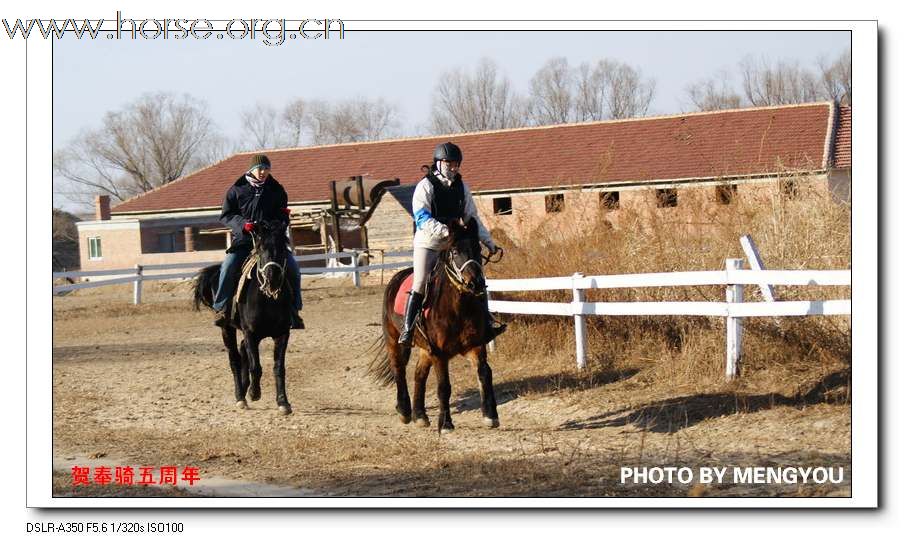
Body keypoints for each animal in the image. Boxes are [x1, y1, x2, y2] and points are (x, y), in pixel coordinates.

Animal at [195, 220, 296, 414]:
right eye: (261, 247)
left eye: (282, 247)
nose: (273, 276)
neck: (267, 299)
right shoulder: (250, 333)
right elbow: (255, 366)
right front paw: (254, 393)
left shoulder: (282, 334)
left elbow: (279, 367)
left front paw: (283, 402)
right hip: (227, 329)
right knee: (234, 359)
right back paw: (240, 396)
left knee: (242, 351)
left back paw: (244, 387)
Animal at [368, 217, 502, 432]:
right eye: (455, 251)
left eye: (477, 247)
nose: (476, 283)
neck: (458, 308)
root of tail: (396, 278)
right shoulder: (440, 354)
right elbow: (443, 386)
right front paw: (446, 423)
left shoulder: (475, 345)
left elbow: (484, 373)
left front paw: (490, 415)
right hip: (394, 341)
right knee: (399, 370)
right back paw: (405, 411)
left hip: (425, 348)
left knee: (419, 374)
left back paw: (420, 415)